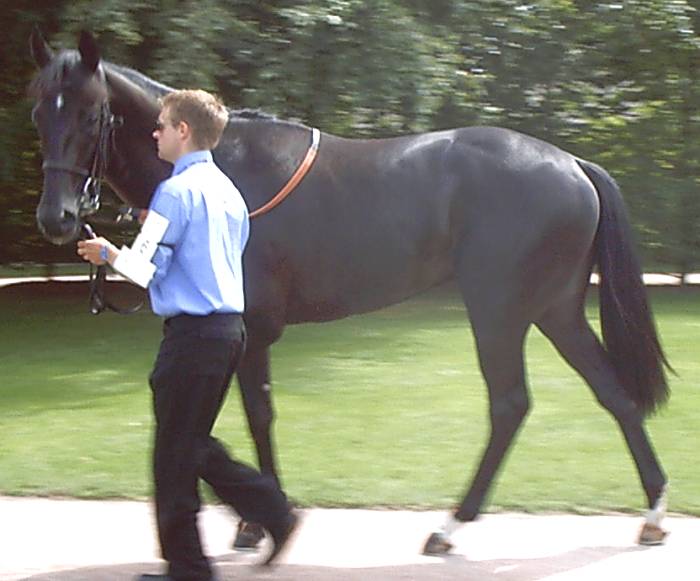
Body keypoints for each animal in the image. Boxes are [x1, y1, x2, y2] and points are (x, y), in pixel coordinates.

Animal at [28, 29, 671, 552]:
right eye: (39, 113)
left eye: (91, 114)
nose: (58, 219)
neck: (223, 166)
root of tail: (573, 164)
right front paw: (257, 517)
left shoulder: (251, 328)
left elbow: (257, 414)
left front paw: (258, 520)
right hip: (556, 309)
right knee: (613, 392)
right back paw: (654, 513)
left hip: (500, 310)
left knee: (511, 404)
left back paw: (451, 526)